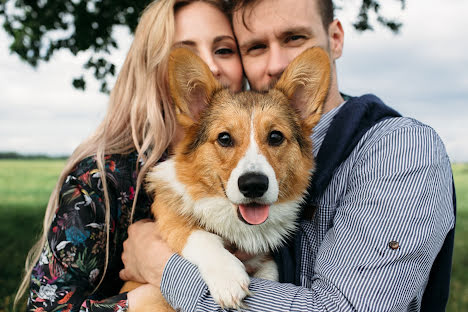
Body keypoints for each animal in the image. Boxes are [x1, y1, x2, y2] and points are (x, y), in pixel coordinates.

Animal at [122, 47, 330, 312]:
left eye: (275, 136)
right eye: (224, 138)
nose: (254, 185)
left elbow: (270, 272)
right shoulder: (169, 217)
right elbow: (198, 235)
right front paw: (227, 276)